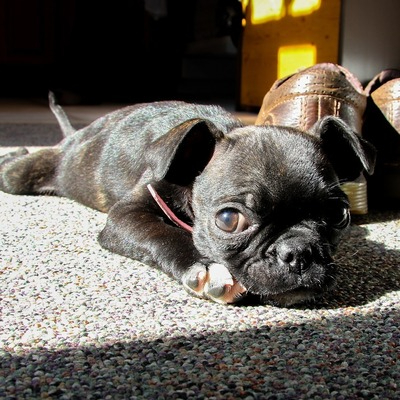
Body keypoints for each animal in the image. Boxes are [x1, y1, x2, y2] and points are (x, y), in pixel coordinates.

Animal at [0, 94, 376, 306]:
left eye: (339, 214)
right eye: (228, 220)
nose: (298, 252)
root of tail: (76, 136)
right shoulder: (126, 216)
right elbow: (160, 233)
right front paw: (206, 267)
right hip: (23, 176)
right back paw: (15, 150)